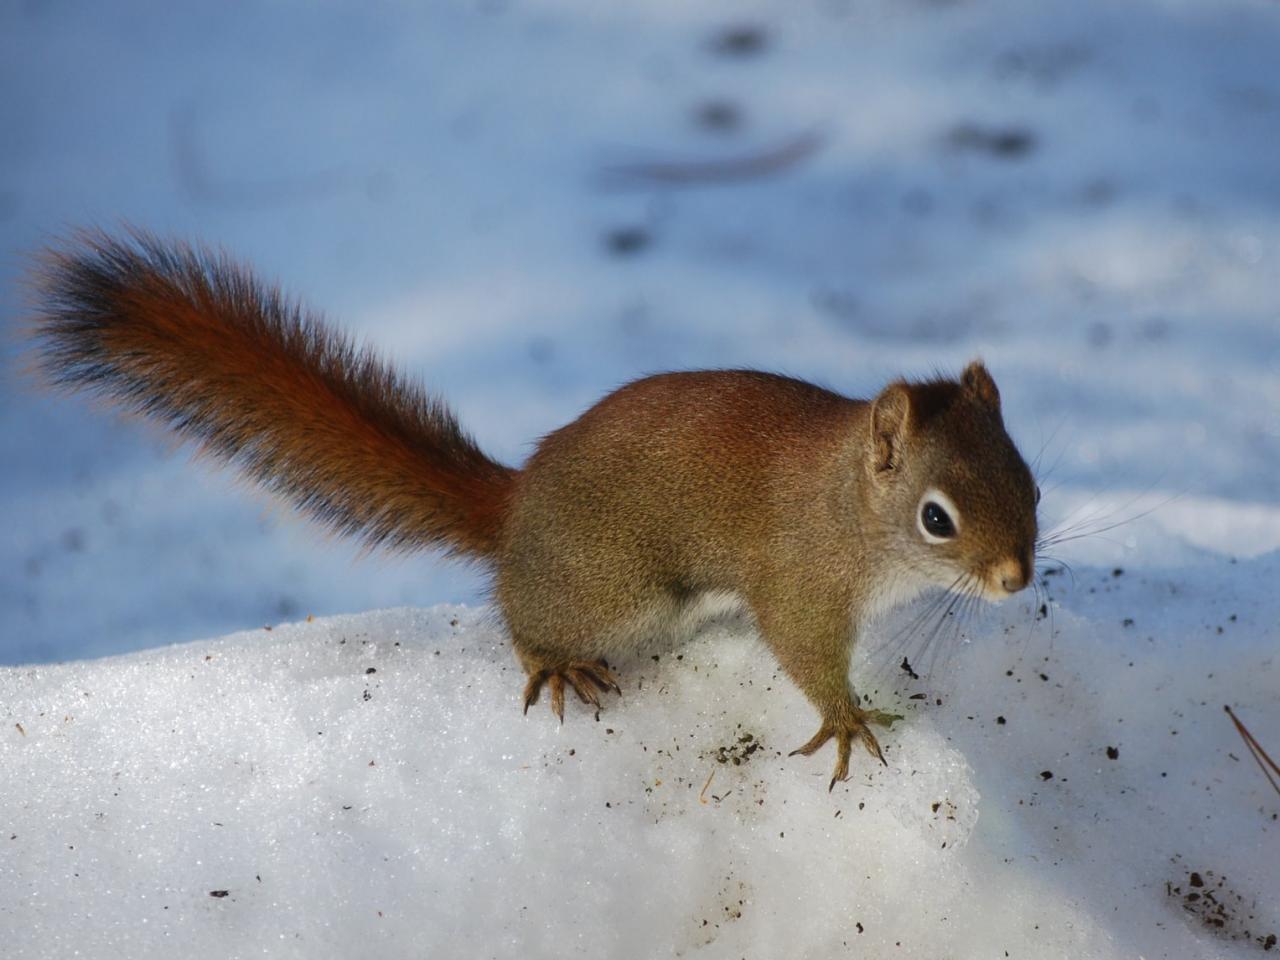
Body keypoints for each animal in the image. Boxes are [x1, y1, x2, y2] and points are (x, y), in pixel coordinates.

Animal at [27, 231, 1039, 788]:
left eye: (1030, 482)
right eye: (937, 518)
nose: (1017, 578)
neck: (852, 509)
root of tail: (516, 507)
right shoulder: (799, 580)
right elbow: (803, 650)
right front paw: (847, 720)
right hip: (612, 587)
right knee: (523, 617)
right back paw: (554, 662)